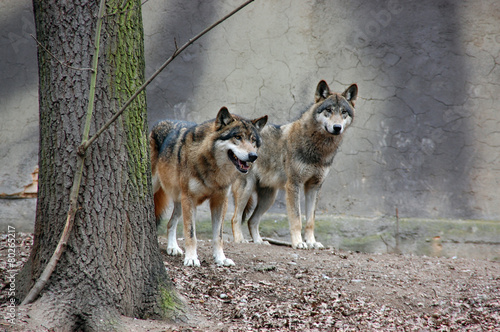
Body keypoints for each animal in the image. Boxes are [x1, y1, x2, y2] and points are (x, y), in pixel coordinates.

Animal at [230, 81, 356, 249]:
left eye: (343, 112)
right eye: (329, 110)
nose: (337, 127)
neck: (319, 149)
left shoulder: (314, 187)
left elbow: (310, 221)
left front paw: (312, 242)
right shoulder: (294, 185)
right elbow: (297, 219)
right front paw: (298, 243)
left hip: (269, 198)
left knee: (252, 220)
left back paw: (259, 241)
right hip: (246, 189)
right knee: (235, 218)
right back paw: (240, 240)